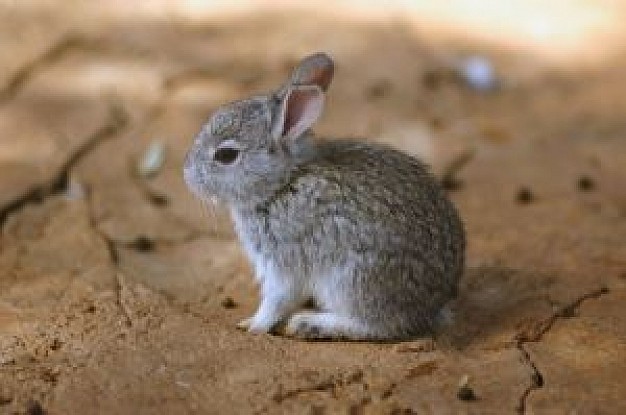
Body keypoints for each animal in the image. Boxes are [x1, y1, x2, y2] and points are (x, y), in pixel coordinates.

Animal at [183, 52, 460, 342]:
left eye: (226, 155)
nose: (186, 174)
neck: (282, 183)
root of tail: (434, 304)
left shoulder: (283, 261)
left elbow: (276, 300)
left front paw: (253, 326)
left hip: (351, 280)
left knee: (376, 325)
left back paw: (309, 323)